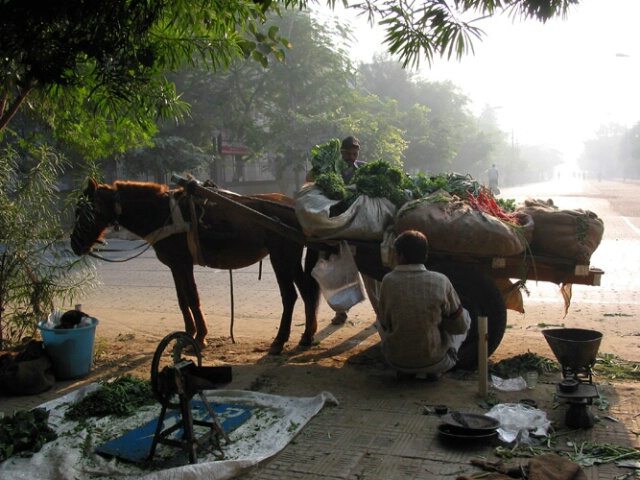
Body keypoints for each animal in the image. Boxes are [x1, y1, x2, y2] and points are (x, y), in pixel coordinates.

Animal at [71, 178, 320, 354]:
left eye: (85, 211)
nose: (75, 244)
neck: (162, 214)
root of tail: (293, 206)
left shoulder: (183, 263)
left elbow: (192, 298)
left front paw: (200, 337)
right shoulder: (174, 265)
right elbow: (182, 300)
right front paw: (188, 332)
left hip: (280, 257)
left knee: (290, 296)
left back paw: (280, 340)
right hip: (290, 258)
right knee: (307, 291)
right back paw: (306, 336)